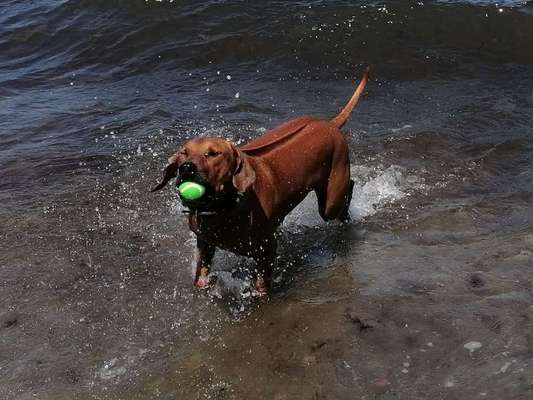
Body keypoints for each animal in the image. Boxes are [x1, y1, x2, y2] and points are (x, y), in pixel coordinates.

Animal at [153, 68, 370, 294]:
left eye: (213, 154)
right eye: (183, 153)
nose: (186, 168)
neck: (224, 208)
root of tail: (330, 124)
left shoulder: (266, 248)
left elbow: (261, 286)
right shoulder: (205, 244)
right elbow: (201, 277)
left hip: (331, 199)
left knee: (345, 192)